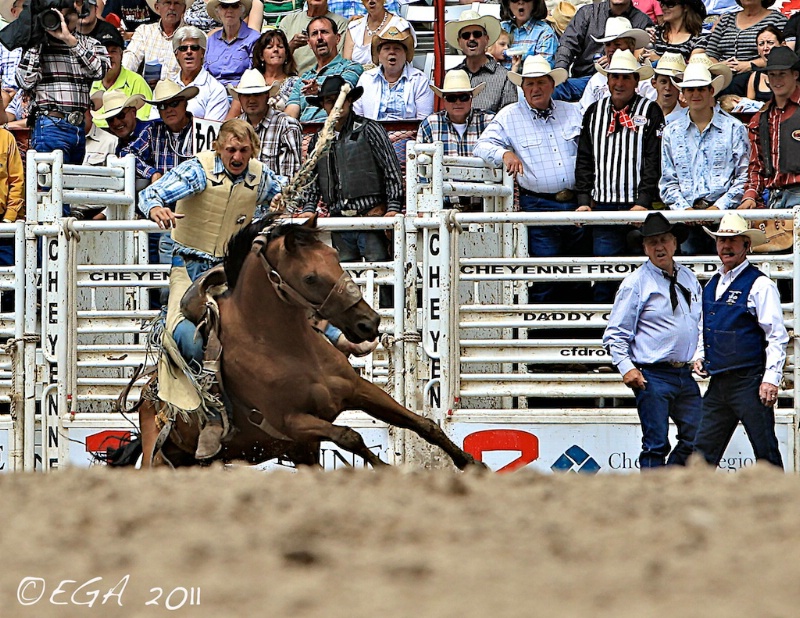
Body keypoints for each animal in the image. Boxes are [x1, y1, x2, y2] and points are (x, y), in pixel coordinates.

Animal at [130, 212, 482, 466]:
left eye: (335, 257)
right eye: (310, 277)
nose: (369, 322)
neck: (288, 348)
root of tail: (147, 397)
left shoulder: (359, 391)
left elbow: (423, 424)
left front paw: (469, 462)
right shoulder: (293, 422)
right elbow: (350, 437)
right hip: (158, 458)